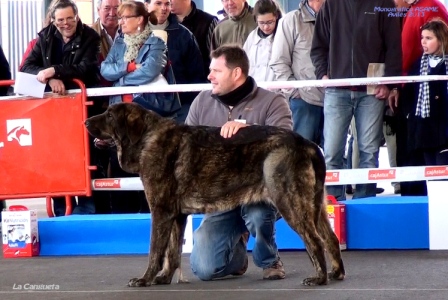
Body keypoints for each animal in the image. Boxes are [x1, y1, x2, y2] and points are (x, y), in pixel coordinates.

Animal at [86, 102, 346, 286]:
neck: (146, 138)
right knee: (330, 239)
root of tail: (306, 143)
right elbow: (172, 252)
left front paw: (146, 279)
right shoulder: (176, 216)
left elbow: (155, 251)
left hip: (291, 203)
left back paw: (319, 278)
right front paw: (164, 278)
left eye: (110, 115)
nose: (86, 121)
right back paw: (336, 273)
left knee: (314, 241)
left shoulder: (160, 212)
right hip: (315, 206)